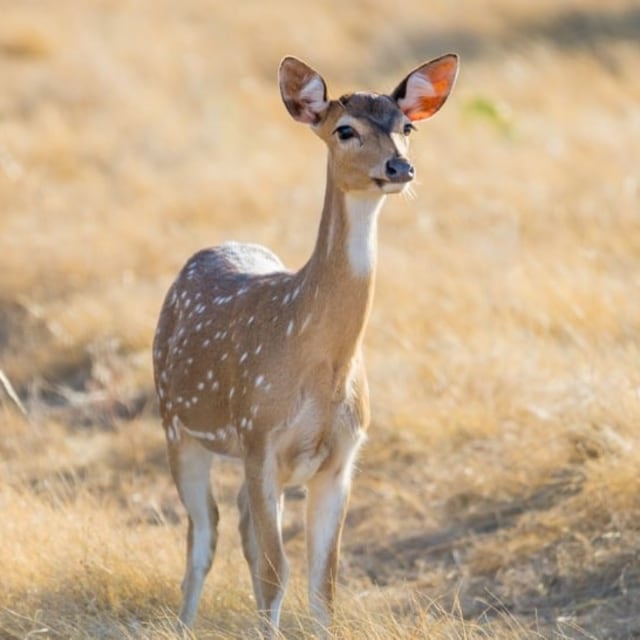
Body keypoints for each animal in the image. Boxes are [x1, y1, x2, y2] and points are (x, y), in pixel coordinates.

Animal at [152, 52, 458, 636]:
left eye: (406, 128)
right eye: (345, 129)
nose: (399, 168)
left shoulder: (341, 458)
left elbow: (323, 583)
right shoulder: (260, 438)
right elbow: (277, 573)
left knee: (240, 530)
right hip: (178, 425)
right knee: (204, 536)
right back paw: (181, 623)